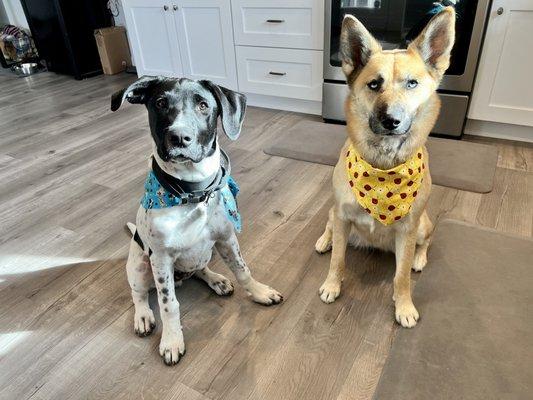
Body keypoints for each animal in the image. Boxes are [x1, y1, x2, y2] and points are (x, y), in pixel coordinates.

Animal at [110, 76, 280, 366]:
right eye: (160, 103)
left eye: (203, 105)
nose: (179, 137)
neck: (193, 193)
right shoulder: (161, 259)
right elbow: (169, 304)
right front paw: (171, 340)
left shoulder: (227, 239)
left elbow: (243, 270)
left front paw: (259, 292)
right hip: (140, 265)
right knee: (139, 294)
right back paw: (143, 316)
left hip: (205, 254)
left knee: (200, 270)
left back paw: (216, 280)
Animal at [314, 8, 456, 328]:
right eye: (374, 84)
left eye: (412, 83)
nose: (391, 120)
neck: (382, 170)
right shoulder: (342, 216)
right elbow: (338, 260)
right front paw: (332, 285)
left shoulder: (408, 230)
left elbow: (401, 277)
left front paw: (404, 306)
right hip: (335, 215)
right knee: (329, 225)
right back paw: (324, 240)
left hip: (422, 226)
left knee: (426, 242)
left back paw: (419, 259)